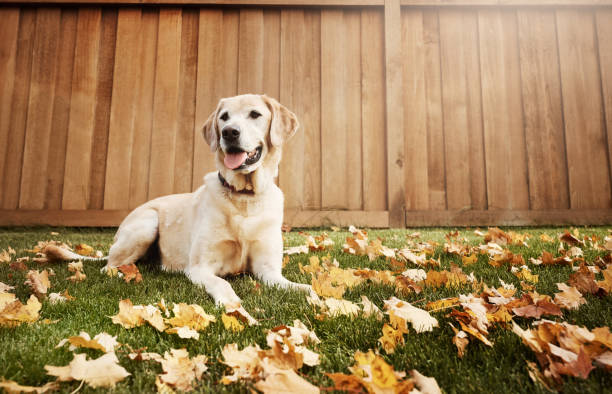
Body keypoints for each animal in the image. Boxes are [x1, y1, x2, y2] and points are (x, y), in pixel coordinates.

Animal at [100, 94, 314, 308]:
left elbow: (300, 287)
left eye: (255, 114)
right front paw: (231, 303)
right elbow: (222, 283)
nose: (229, 132)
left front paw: (313, 295)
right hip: (147, 223)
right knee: (109, 266)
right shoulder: (200, 267)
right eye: (224, 117)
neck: (244, 197)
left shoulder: (269, 270)